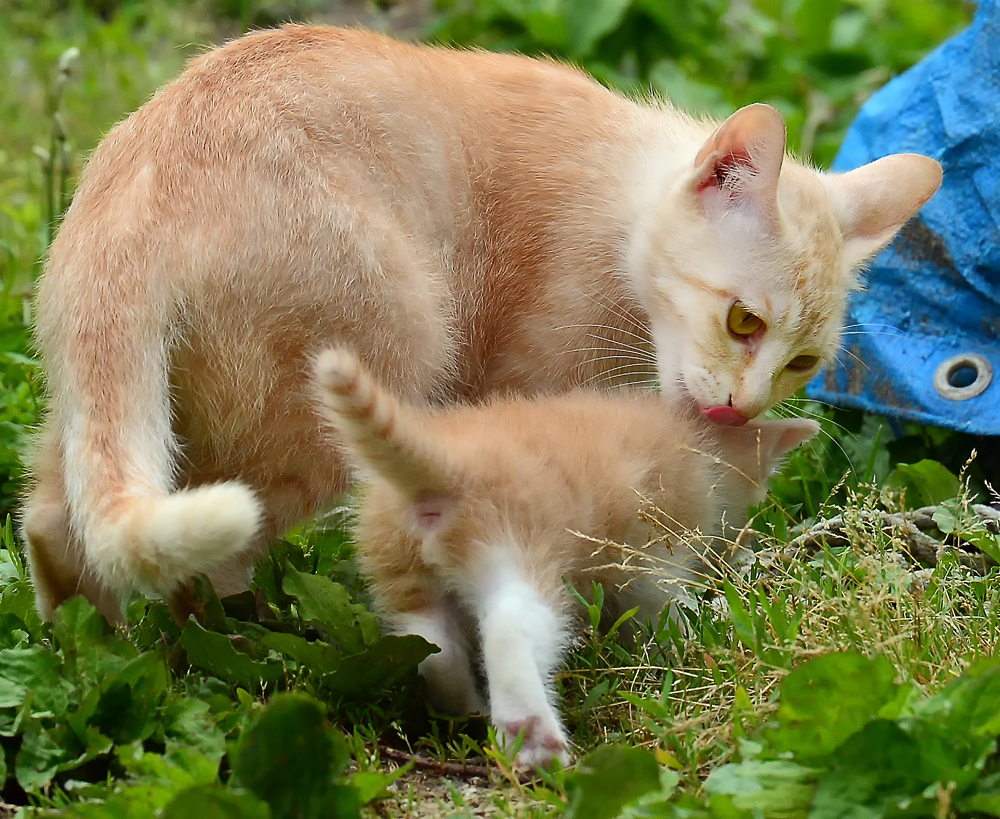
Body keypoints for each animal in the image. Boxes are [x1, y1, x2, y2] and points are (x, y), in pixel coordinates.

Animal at [21, 25, 936, 624]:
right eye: (745, 321)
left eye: (802, 362)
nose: (743, 406)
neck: (622, 192)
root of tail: (130, 199)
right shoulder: (530, 391)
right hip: (380, 360)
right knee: (201, 556)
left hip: (110, 411)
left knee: (55, 522)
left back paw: (98, 654)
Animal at [314, 350, 820, 772]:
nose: (741, 542)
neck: (693, 445)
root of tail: (444, 464)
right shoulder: (651, 553)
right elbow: (664, 609)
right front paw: (706, 632)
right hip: (514, 546)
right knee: (510, 624)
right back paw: (532, 735)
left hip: (399, 572)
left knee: (429, 647)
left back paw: (468, 709)